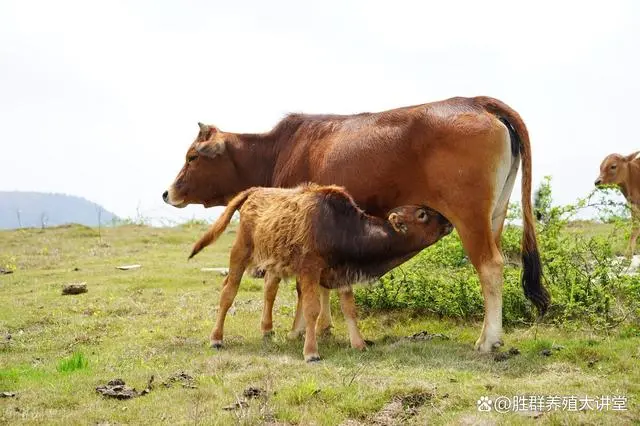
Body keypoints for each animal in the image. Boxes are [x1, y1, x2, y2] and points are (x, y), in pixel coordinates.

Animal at [188, 183, 452, 360]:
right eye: (422, 215)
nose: (448, 222)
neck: (342, 228)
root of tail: (255, 191)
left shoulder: (342, 273)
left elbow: (349, 309)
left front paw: (359, 344)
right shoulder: (310, 271)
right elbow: (312, 309)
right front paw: (311, 352)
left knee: (267, 290)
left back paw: (266, 331)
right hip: (240, 254)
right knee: (228, 293)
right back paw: (216, 338)